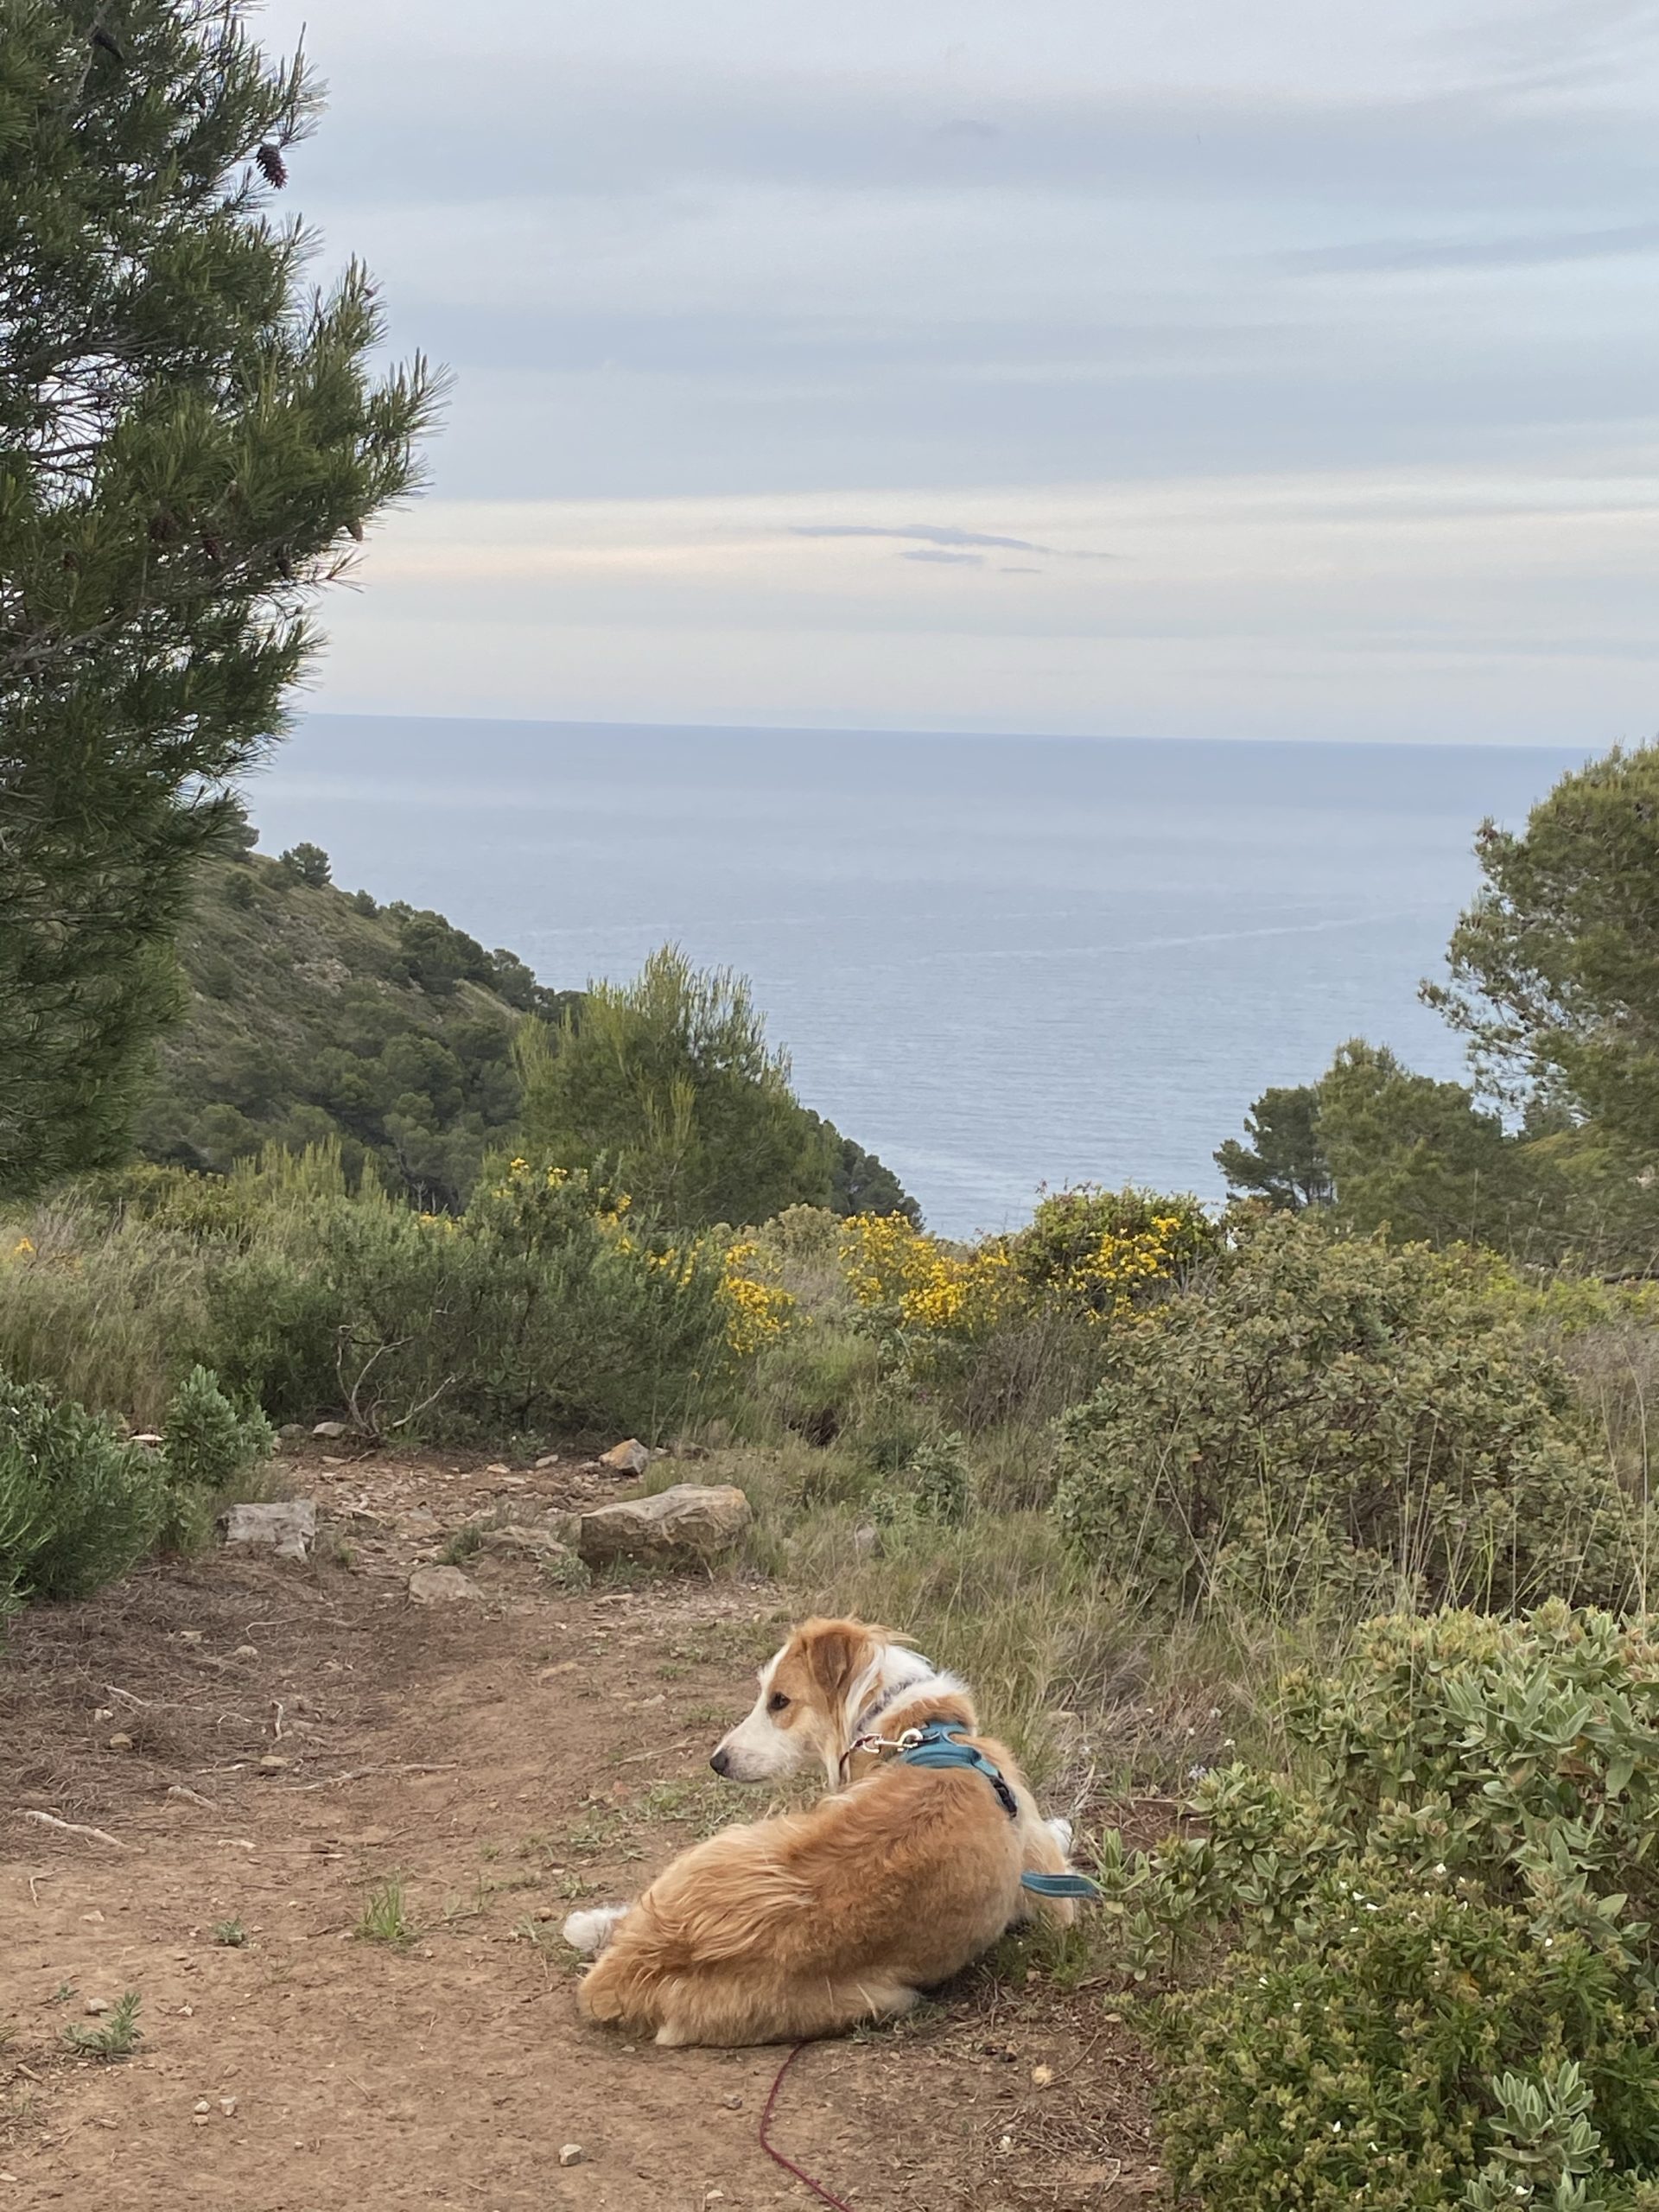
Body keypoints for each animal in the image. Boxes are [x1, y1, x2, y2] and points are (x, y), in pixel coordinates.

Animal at [566, 1618, 1084, 2044]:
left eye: (779, 1701)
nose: (717, 1762)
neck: (919, 1729)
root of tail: (639, 1964)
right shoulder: (1052, 1894)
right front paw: (1064, 1826)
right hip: (884, 1994)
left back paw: (589, 1925)